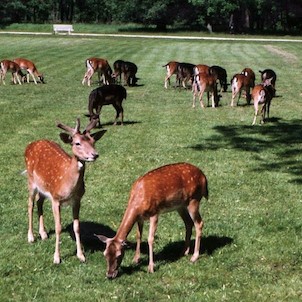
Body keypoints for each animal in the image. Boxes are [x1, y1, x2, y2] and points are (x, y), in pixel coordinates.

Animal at [23, 117, 104, 264]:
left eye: (93, 141)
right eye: (77, 143)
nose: (94, 154)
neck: (69, 185)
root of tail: (30, 145)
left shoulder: (77, 200)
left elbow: (77, 227)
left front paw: (81, 256)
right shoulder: (56, 199)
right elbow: (58, 227)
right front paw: (56, 258)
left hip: (44, 188)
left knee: (39, 202)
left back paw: (43, 234)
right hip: (31, 181)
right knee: (30, 204)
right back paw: (31, 237)